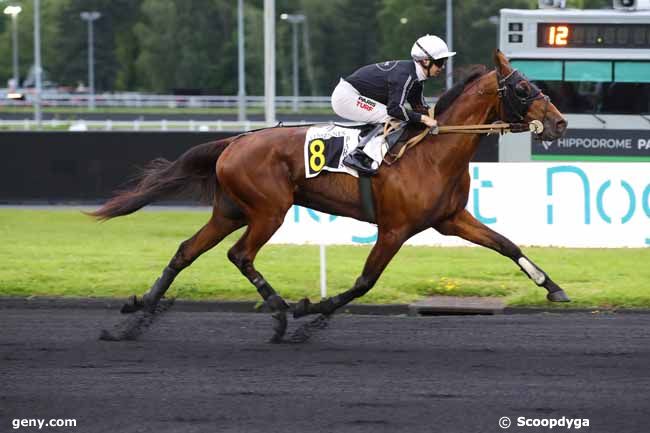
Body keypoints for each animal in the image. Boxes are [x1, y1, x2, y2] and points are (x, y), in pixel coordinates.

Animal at [90, 50, 568, 340]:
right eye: (523, 88)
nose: (560, 122)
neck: (432, 151)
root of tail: (234, 141)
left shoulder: (450, 219)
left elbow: (506, 244)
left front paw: (554, 287)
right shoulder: (394, 229)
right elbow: (364, 282)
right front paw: (309, 313)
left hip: (231, 211)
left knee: (186, 251)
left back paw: (136, 313)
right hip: (269, 211)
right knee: (239, 255)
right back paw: (281, 313)